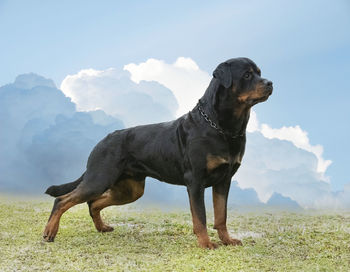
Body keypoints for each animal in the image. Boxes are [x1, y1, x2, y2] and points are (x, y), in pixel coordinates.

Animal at [44, 57, 274, 249]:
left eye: (259, 72)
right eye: (247, 75)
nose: (270, 83)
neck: (222, 127)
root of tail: (101, 141)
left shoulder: (223, 181)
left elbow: (221, 216)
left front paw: (227, 240)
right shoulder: (195, 181)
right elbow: (201, 217)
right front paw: (206, 243)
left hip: (130, 189)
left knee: (93, 202)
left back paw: (101, 228)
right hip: (99, 178)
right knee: (63, 200)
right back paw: (49, 232)